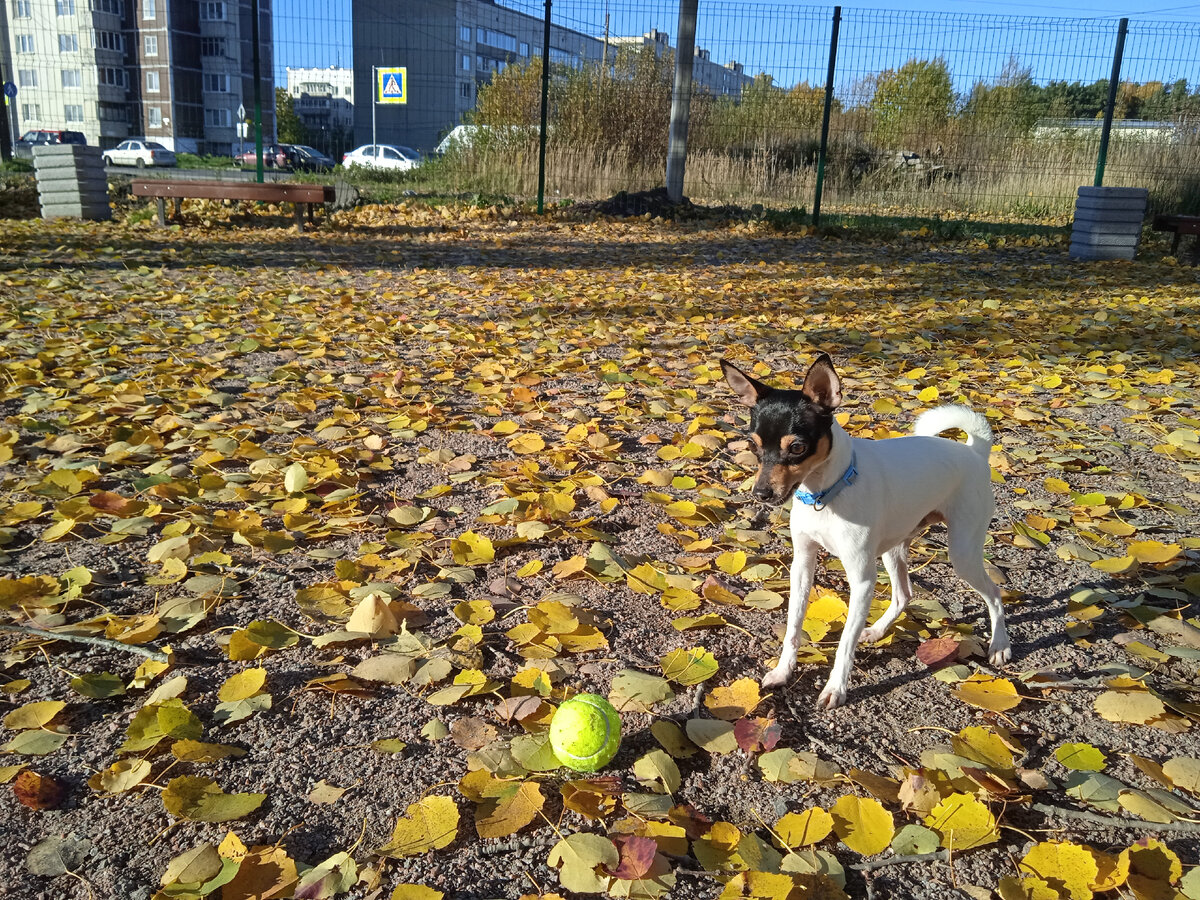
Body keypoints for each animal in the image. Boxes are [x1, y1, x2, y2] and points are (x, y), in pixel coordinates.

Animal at [720, 355, 1012, 710]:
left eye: (798, 447)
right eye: (753, 445)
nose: (761, 493)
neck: (826, 494)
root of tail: (974, 451)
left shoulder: (861, 580)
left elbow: (845, 642)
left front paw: (836, 688)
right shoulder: (801, 566)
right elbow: (792, 626)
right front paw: (782, 670)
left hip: (962, 553)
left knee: (994, 594)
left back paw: (1000, 645)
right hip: (894, 548)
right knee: (903, 594)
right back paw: (877, 630)